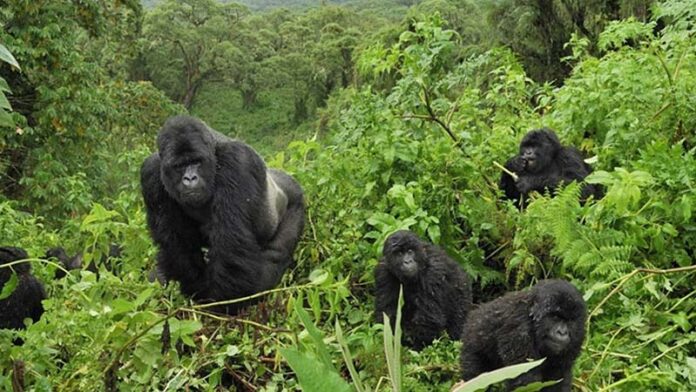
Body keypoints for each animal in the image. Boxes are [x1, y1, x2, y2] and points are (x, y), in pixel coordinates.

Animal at [139, 114, 304, 312]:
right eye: (179, 166)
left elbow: (231, 246)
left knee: (276, 254)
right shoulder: (151, 173)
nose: (190, 178)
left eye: (196, 161)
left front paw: (218, 302)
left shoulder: (238, 161)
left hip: (295, 200)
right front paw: (195, 289)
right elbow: (177, 246)